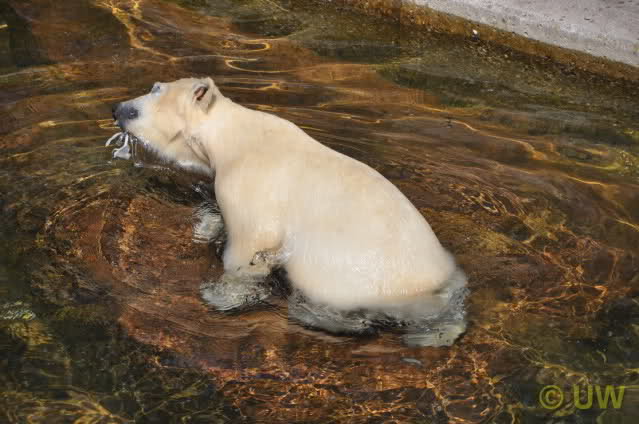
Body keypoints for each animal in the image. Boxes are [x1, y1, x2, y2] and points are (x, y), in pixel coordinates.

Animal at [111, 77, 468, 346]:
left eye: (153, 90)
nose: (116, 109)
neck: (237, 136)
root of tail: (434, 294)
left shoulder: (249, 185)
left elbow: (249, 247)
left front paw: (219, 295)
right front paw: (204, 225)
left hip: (355, 278)